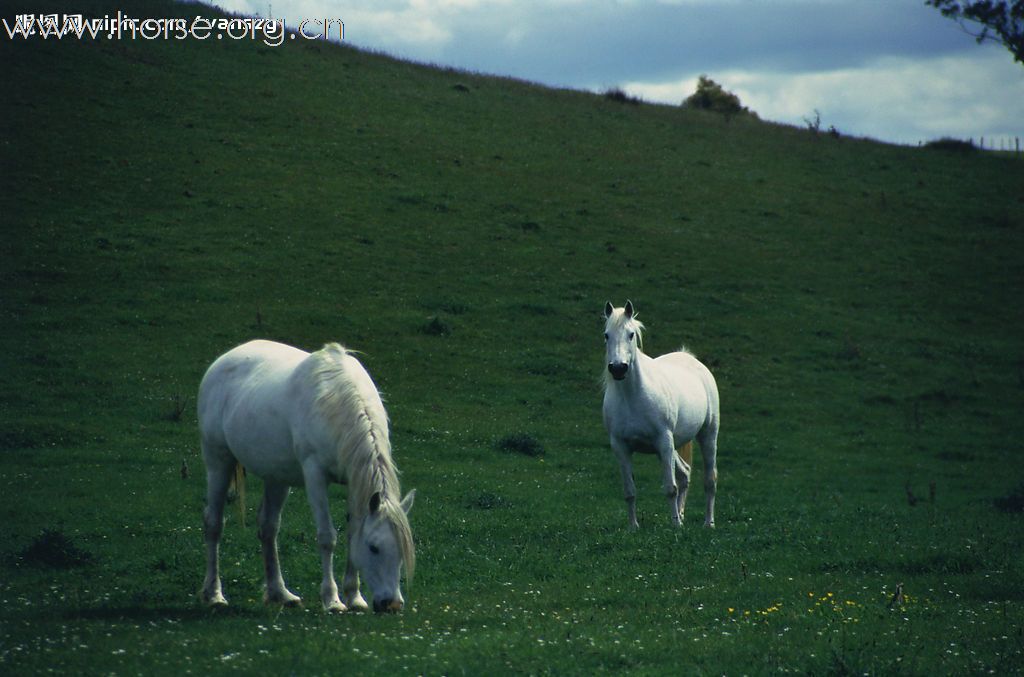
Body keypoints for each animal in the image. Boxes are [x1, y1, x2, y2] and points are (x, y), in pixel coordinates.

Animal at [197, 340, 413, 610]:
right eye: (374, 548)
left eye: (403, 551)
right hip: (218, 461)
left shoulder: (354, 480)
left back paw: (280, 593)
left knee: (268, 527)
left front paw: (354, 596)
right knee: (214, 524)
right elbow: (327, 536)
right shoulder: (315, 475)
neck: (338, 401)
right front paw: (332, 599)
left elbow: (353, 531)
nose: (391, 604)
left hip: (276, 477)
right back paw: (214, 593)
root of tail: (221, 362)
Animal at [598, 301, 720, 528]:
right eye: (606, 335)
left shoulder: (664, 441)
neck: (633, 396)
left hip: (707, 435)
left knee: (709, 480)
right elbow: (629, 491)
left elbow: (670, 489)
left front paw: (676, 526)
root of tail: (691, 360)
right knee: (684, 473)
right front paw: (633, 527)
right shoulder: (621, 447)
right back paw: (681, 514)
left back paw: (708, 523)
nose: (618, 368)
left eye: (631, 334)